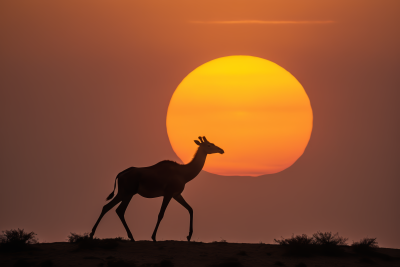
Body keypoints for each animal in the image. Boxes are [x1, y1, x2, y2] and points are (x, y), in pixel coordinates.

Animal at [88, 136, 223, 243]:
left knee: (111, 208)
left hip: (125, 193)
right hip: (128, 192)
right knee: (117, 209)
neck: (184, 174)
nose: (221, 150)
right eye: (209, 145)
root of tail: (120, 174)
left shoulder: (176, 194)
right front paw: (153, 237)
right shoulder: (168, 193)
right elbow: (161, 214)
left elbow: (190, 209)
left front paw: (189, 236)